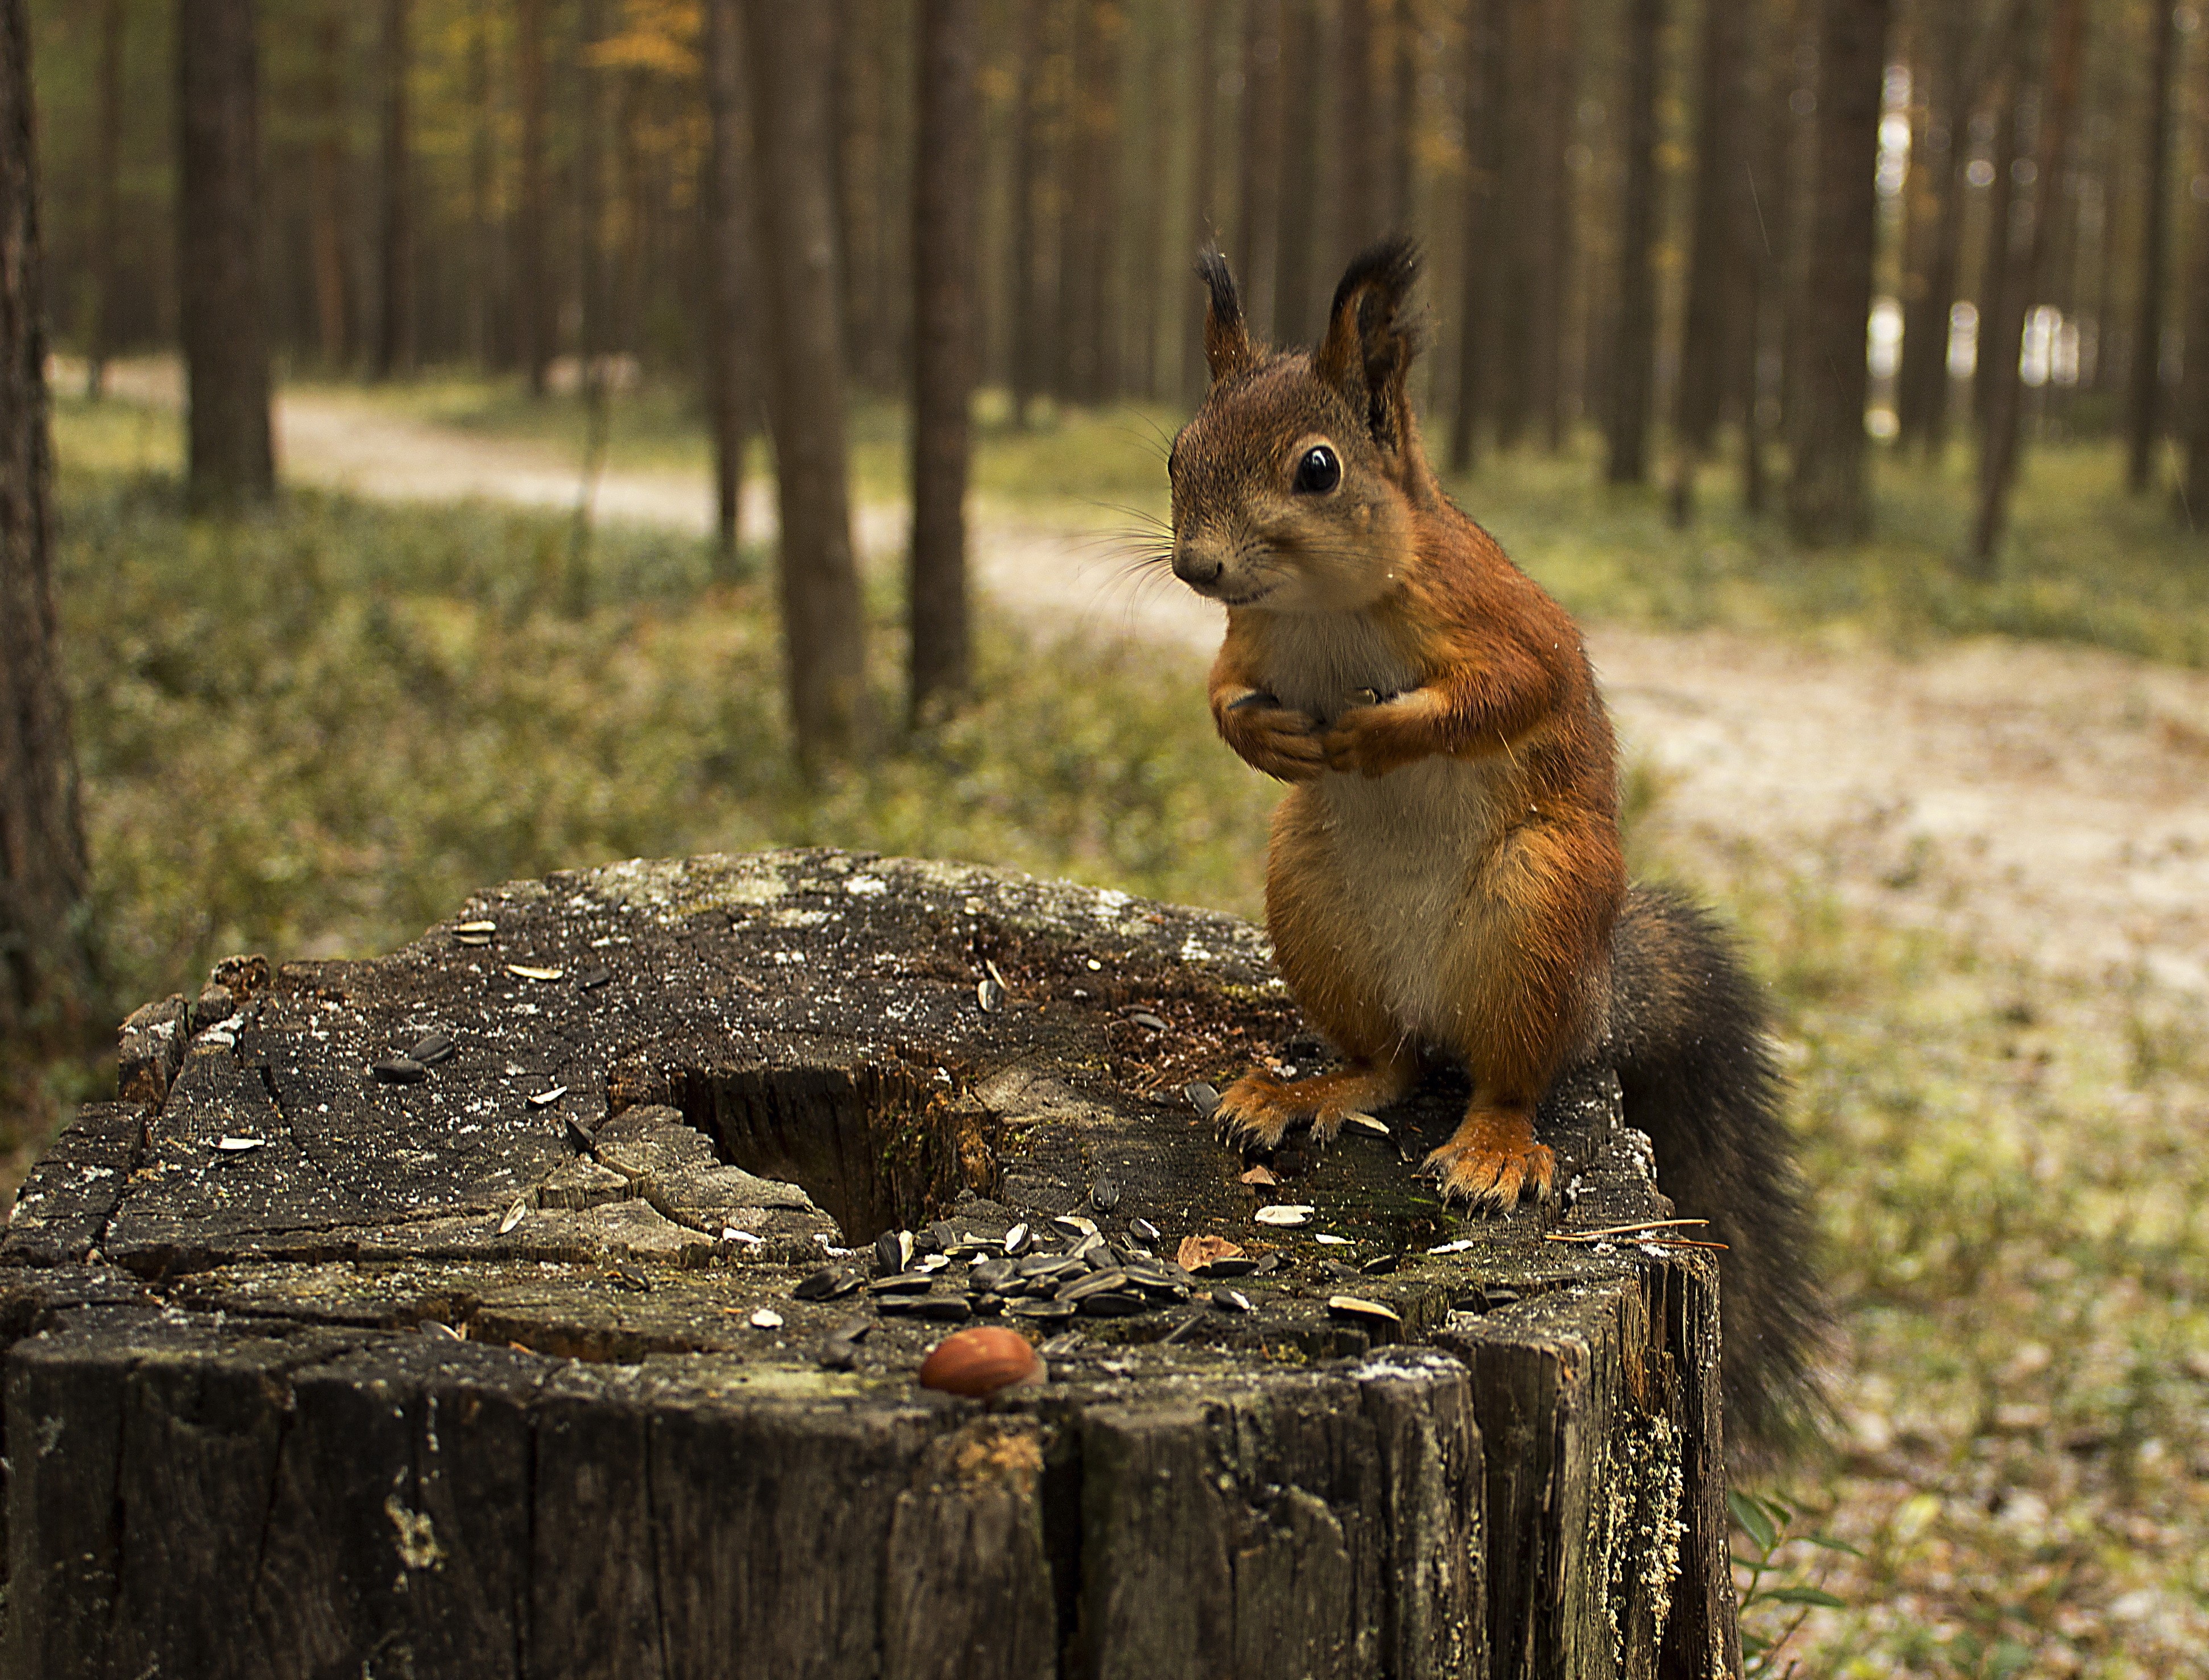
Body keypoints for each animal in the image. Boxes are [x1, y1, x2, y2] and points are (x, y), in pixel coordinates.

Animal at [1166, 236, 1823, 1452]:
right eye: (1178, 451)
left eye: (1318, 469)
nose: (1198, 568)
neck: (1326, 608)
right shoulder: (1250, 639)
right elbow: (1223, 691)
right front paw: (1267, 735)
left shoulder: (1501, 618)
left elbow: (1514, 690)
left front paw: (1378, 733)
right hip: (1314, 907)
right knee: (1389, 1063)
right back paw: (1303, 1092)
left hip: (1539, 911)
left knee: (1509, 1080)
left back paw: (1493, 1153)